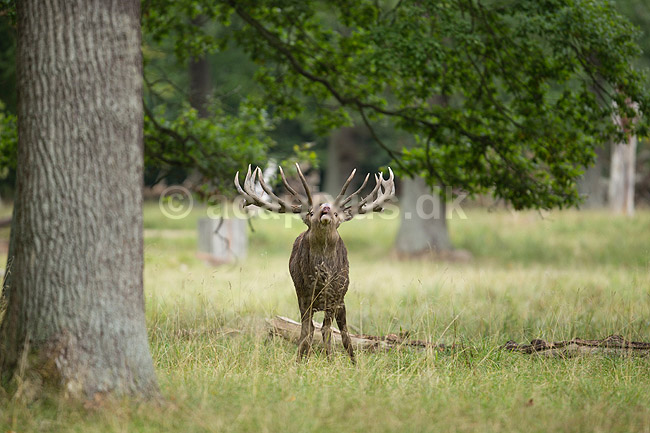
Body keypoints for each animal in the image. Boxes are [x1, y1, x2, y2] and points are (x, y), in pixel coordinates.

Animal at [235, 164, 395, 363]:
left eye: (336, 213)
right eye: (311, 212)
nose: (325, 208)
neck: (322, 277)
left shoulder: (335, 295)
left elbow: (327, 330)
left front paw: (330, 361)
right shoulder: (303, 294)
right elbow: (307, 330)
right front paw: (300, 360)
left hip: (341, 301)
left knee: (344, 332)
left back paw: (353, 362)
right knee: (312, 329)